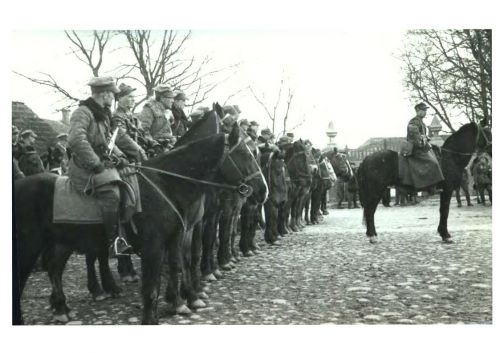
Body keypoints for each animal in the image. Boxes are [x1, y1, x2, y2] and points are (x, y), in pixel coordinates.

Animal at [360, 123, 492, 242]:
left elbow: (443, 210)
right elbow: (445, 211)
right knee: (370, 210)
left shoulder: (445, 190)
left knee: (370, 210)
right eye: (488, 133)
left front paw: (443, 233)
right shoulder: (447, 189)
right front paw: (445, 235)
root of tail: (366, 159)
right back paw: (372, 236)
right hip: (376, 190)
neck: (450, 157)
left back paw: (373, 234)